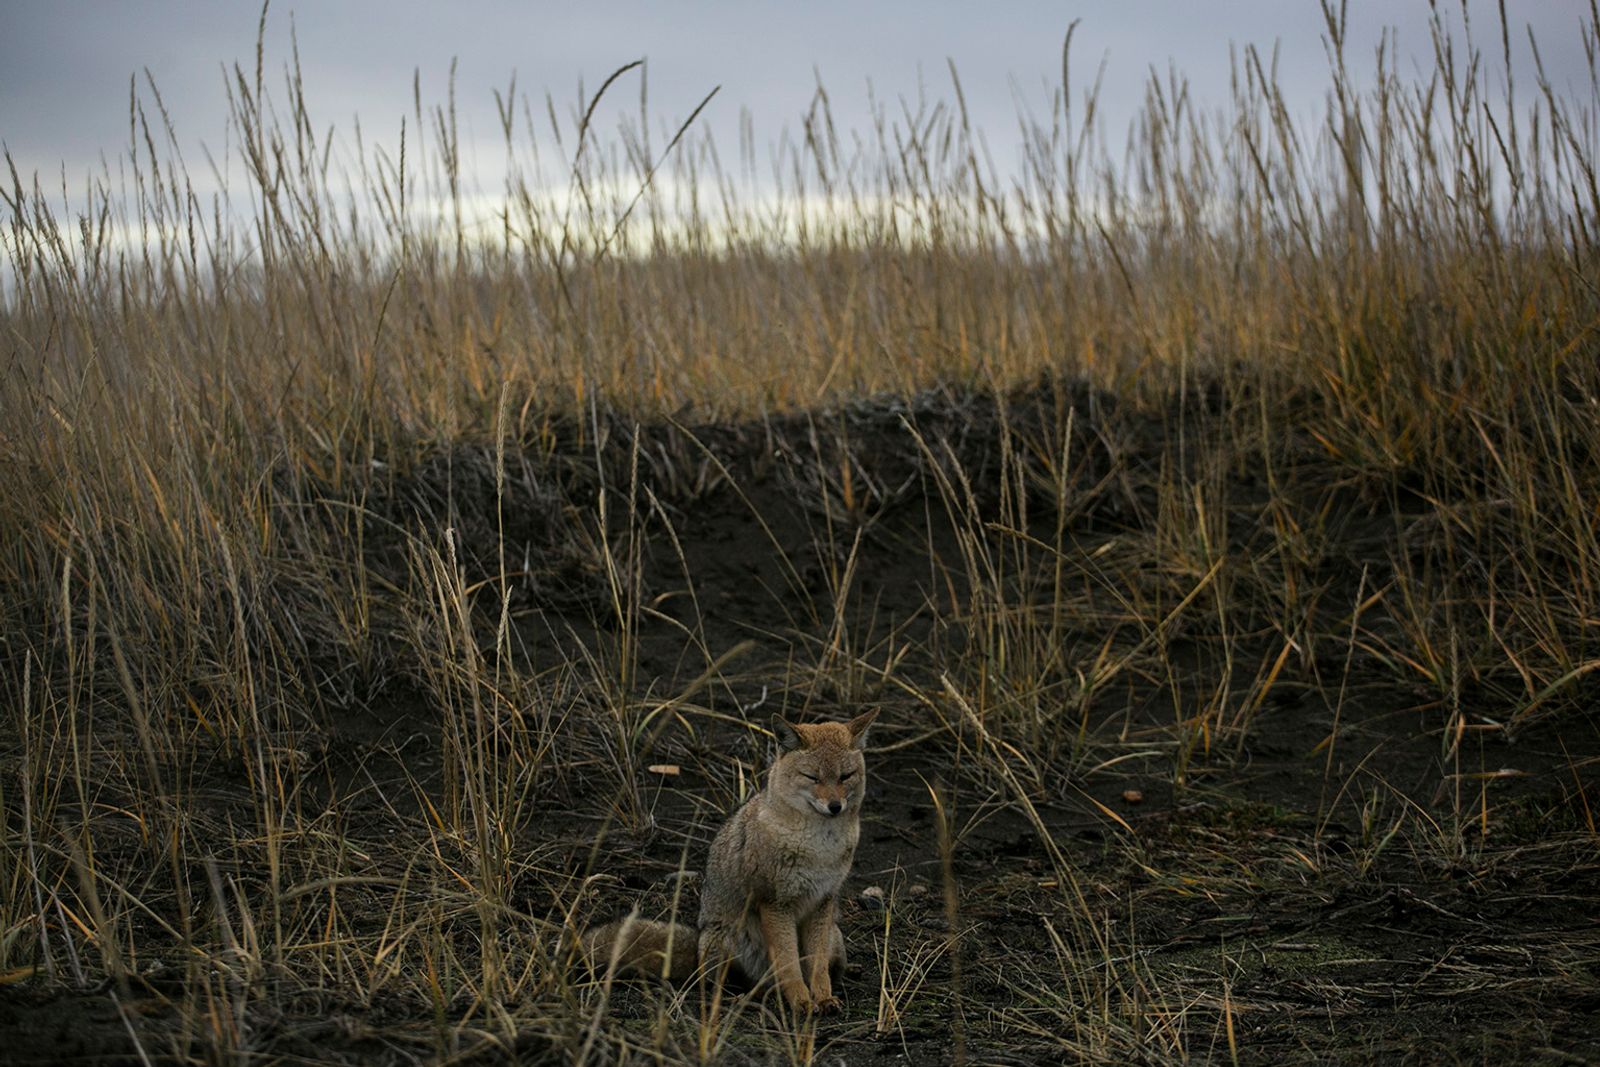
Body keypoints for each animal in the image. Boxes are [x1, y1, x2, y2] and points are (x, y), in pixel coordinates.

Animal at [582, 713, 876, 1017]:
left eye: (845, 776)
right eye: (812, 777)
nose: (835, 806)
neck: (819, 847)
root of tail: (698, 939)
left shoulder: (822, 902)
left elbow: (817, 967)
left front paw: (823, 998)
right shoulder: (774, 903)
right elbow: (789, 963)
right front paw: (801, 1001)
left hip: (834, 937)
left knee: (825, 967)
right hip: (727, 943)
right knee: (733, 983)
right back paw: (747, 997)